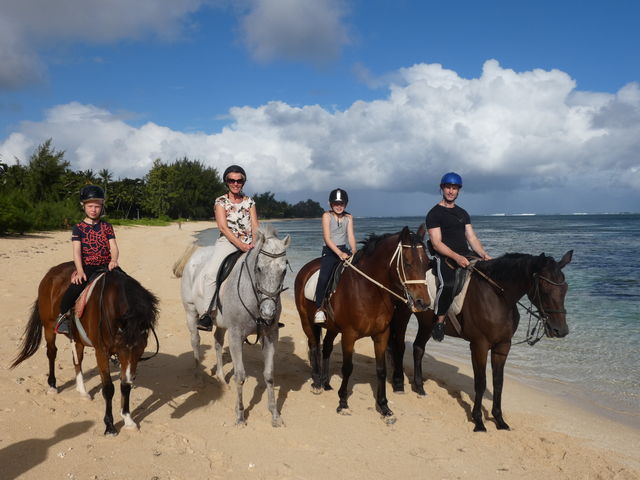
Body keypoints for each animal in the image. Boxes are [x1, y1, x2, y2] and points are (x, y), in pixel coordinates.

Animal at [10, 262, 159, 436]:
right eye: (122, 347)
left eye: (141, 347)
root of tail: (51, 272)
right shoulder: (102, 352)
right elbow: (108, 388)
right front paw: (110, 425)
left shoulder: (129, 360)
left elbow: (125, 385)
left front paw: (128, 421)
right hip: (48, 327)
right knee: (52, 353)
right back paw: (52, 386)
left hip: (77, 337)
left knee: (77, 359)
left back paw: (82, 391)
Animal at [171, 223, 288, 426]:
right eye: (259, 268)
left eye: (284, 271)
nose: (268, 313)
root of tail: (196, 254)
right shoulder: (235, 335)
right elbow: (239, 376)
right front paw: (240, 415)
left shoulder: (270, 336)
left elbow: (269, 375)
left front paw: (275, 414)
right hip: (191, 313)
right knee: (195, 341)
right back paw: (199, 378)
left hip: (220, 323)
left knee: (217, 342)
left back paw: (220, 378)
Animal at [296, 227, 430, 422]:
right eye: (407, 263)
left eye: (427, 263)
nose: (424, 303)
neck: (368, 290)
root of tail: (306, 268)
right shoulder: (349, 335)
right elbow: (347, 368)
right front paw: (343, 403)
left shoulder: (381, 335)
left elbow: (381, 370)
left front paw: (384, 407)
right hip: (306, 321)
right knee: (314, 346)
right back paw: (316, 383)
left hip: (332, 327)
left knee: (326, 347)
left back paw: (325, 382)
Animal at [388, 251, 572, 432]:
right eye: (545, 287)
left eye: (565, 288)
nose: (561, 330)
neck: (498, 297)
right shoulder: (479, 346)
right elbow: (481, 382)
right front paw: (478, 421)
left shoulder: (503, 346)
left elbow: (498, 382)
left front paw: (499, 420)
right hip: (403, 315)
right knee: (399, 345)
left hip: (426, 325)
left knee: (418, 348)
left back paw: (419, 387)